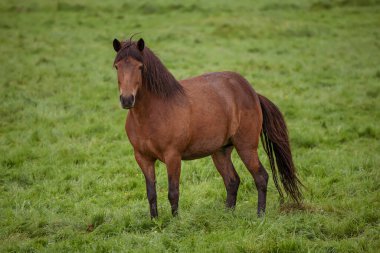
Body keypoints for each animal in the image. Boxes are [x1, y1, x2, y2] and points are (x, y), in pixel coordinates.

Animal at [111, 37, 302, 217]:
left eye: (140, 67)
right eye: (117, 67)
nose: (127, 99)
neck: (154, 113)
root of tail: (252, 93)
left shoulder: (173, 156)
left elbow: (173, 193)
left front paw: (175, 223)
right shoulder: (143, 158)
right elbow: (151, 194)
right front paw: (155, 222)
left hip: (246, 147)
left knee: (261, 177)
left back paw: (260, 215)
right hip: (220, 151)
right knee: (232, 181)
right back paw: (227, 215)